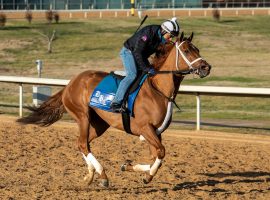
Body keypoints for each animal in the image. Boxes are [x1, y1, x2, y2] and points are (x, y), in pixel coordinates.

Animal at [16, 32, 212, 188]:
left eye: (197, 49)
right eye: (186, 50)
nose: (206, 67)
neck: (158, 90)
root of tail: (70, 83)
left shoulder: (156, 132)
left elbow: (156, 155)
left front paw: (129, 166)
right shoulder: (145, 128)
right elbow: (161, 152)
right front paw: (147, 176)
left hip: (99, 124)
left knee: (83, 143)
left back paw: (90, 175)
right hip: (82, 116)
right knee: (82, 143)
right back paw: (103, 175)